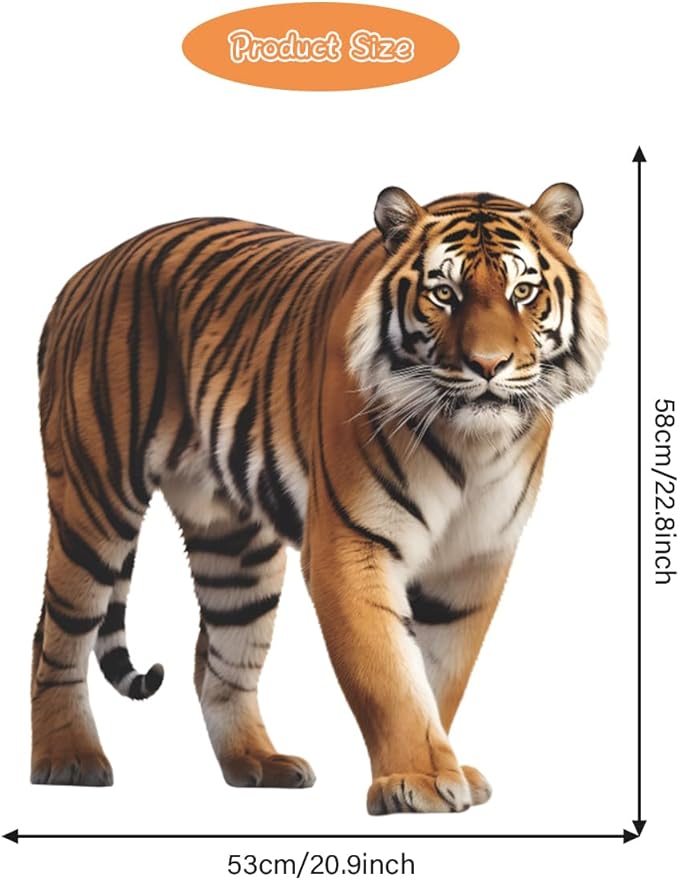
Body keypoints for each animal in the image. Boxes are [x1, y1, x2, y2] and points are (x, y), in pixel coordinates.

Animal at [32, 183, 607, 814]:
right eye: (444, 294)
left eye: (522, 292)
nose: (487, 365)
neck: (472, 445)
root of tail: (85, 272)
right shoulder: (352, 544)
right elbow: (389, 673)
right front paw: (418, 779)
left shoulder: (475, 559)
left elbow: (440, 673)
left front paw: (447, 768)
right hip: (95, 500)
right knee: (55, 634)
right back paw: (68, 759)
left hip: (235, 547)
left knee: (217, 658)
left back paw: (258, 762)